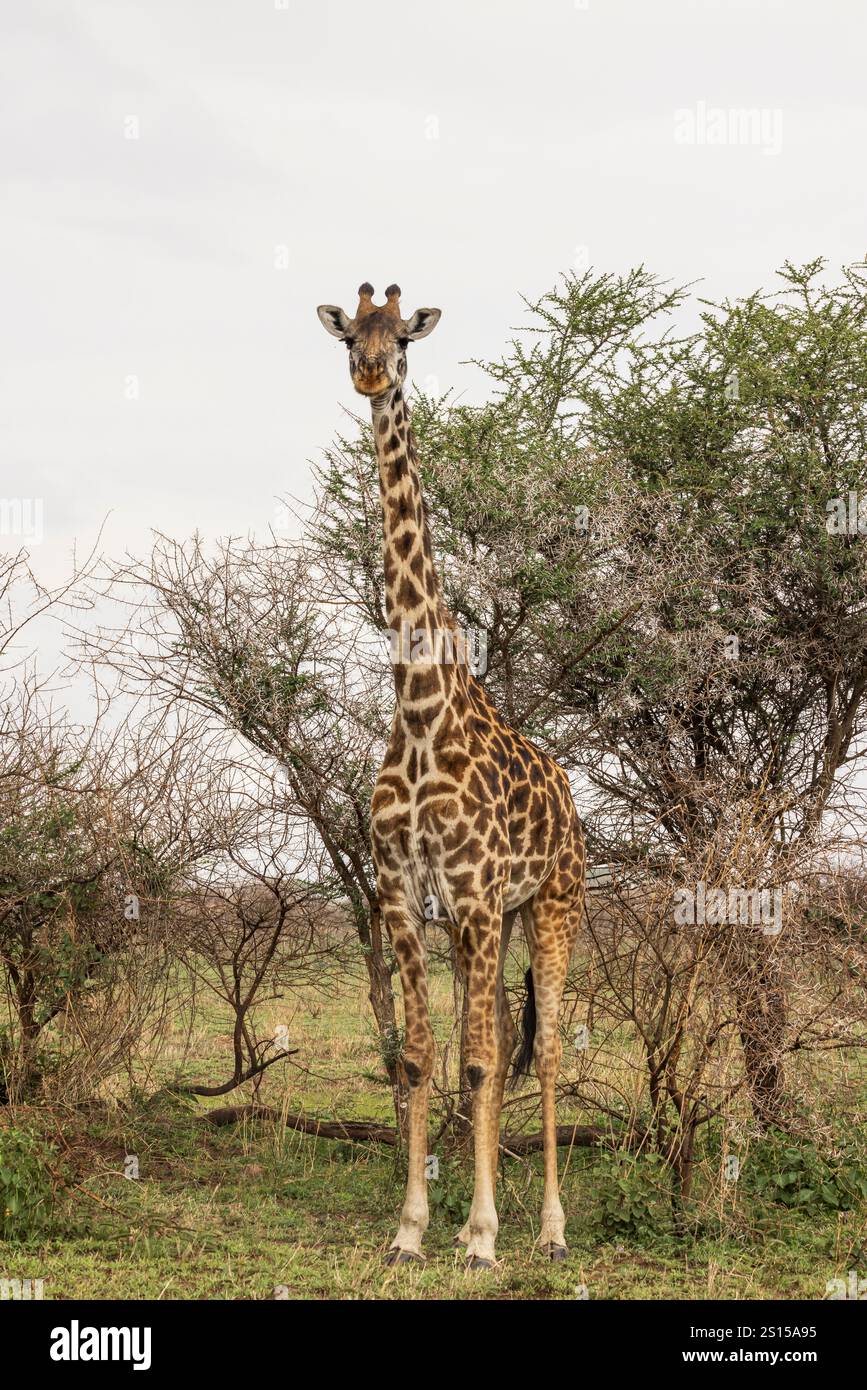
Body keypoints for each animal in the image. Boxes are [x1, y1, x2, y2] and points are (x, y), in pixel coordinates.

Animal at [317, 283, 586, 1268]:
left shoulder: (469, 893)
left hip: (551, 906)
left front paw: (478, 1236)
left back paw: (547, 1228)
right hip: (502, 919)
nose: (369, 374)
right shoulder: (405, 892)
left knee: (547, 1049)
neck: (421, 705)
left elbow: (472, 1062)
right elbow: (422, 1057)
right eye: (350, 337)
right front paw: (410, 1230)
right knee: (508, 1041)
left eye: (404, 339)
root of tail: (572, 799)